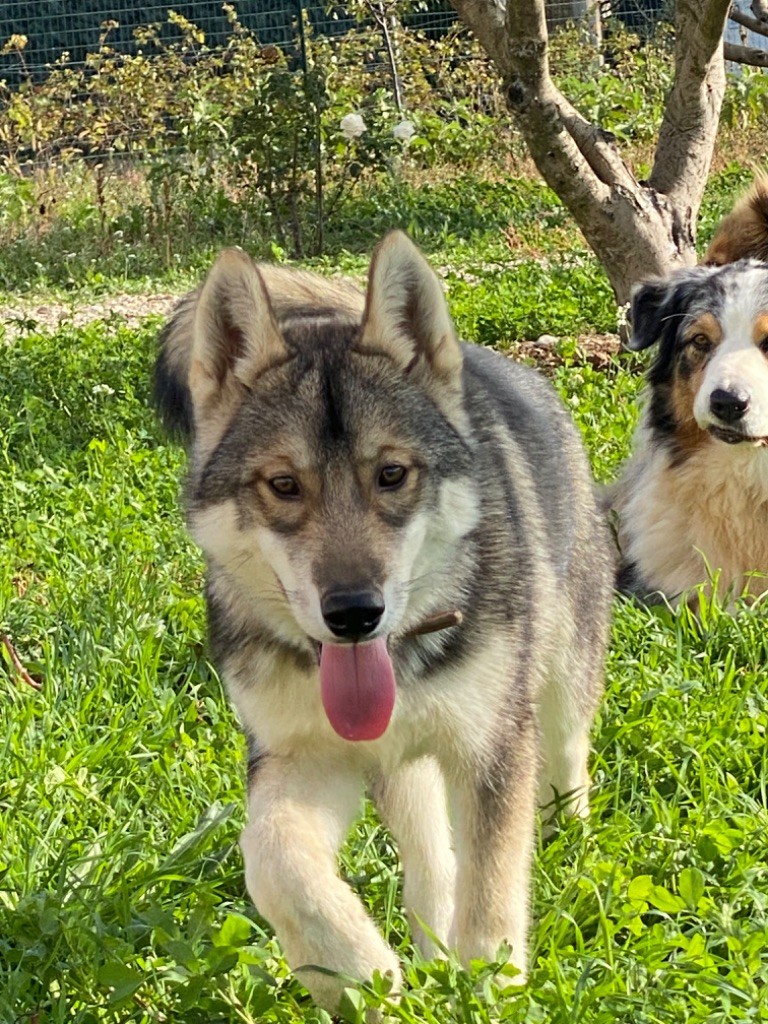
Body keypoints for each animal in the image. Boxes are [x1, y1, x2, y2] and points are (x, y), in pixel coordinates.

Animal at [154, 234, 614, 1015]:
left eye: (392, 475)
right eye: (284, 486)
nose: (353, 614)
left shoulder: (492, 748)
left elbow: (492, 894)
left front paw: (491, 991)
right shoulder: (305, 755)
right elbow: (270, 859)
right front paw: (354, 972)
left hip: (559, 677)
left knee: (564, 760)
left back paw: (569, 844)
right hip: (403, 767)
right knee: (432, 863)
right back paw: (426, 955)